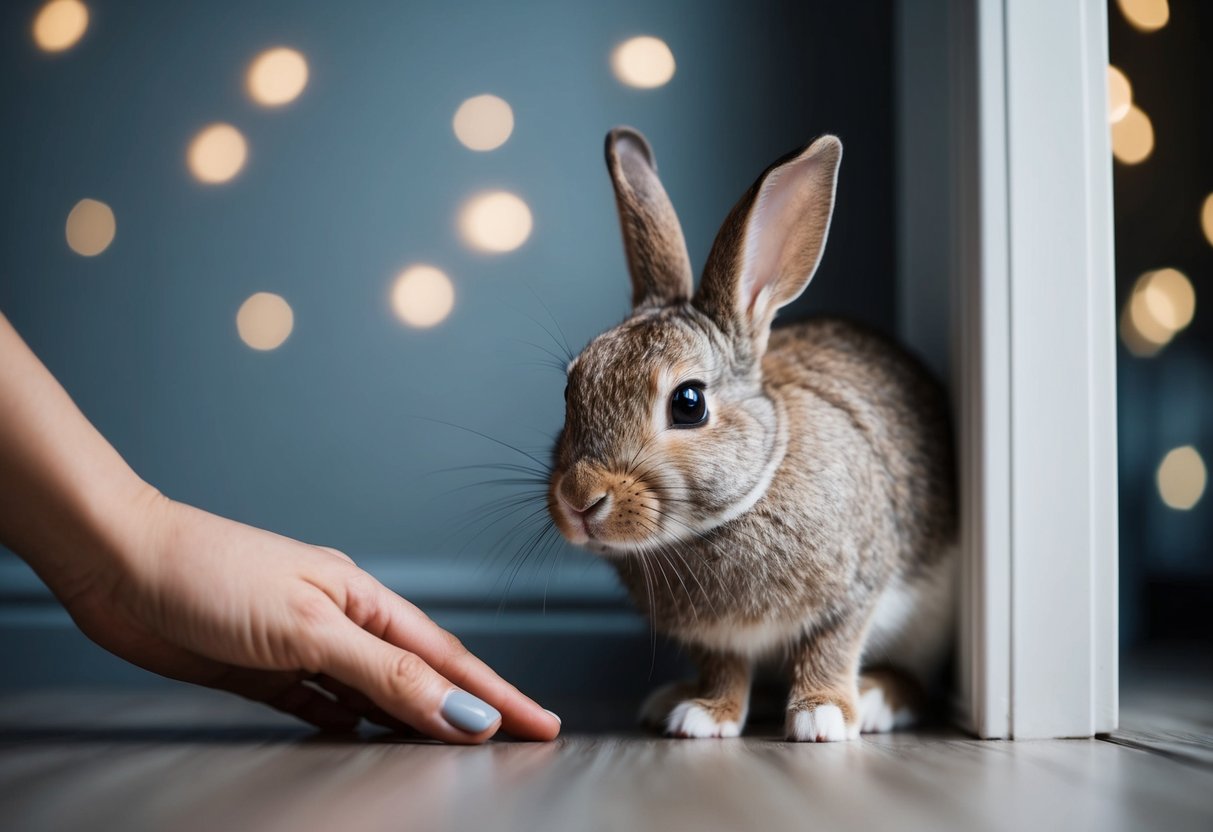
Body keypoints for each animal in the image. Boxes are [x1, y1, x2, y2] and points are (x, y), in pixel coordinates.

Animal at [547, 127, 957, 742]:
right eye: (570, 390)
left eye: (688, 403)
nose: (579, 499)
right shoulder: (714, 640)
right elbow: (726, 669)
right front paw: (705, 716)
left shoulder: (856, 591)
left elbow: (831, 648)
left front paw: (821, 717)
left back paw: (875, 699)